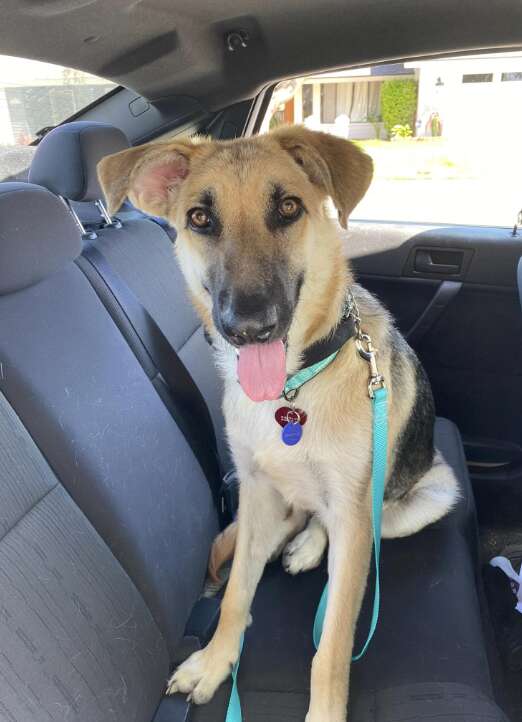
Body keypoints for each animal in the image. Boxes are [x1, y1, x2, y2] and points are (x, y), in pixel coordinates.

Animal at [97, 126, 456, 720]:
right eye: (200, 218)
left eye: (288, 207)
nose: (247, 327)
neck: (291, 393)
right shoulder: (256, 489)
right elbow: (236, 593)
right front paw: (215, 662)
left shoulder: (354, 515)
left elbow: (332, 642)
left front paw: (325, 712)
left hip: (425, 499)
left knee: (336, 528)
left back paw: (309, 545)